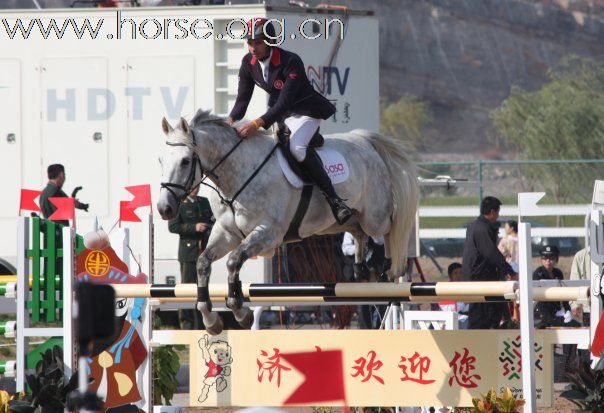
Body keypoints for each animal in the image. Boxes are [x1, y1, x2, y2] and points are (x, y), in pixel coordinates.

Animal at [158, 109, 418, 334]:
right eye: (161, 161)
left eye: (185, 161)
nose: (164, 208)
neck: (237, 173)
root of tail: (364, 139)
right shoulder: (226, 232)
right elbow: (203, 262)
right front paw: (211, 319)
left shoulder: (268, 233)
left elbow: (233, 261)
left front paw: (241, 312)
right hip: (338, 222)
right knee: (357, 230)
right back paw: (360, 268)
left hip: (374, 216)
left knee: (390, 229)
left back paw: (388, 269)